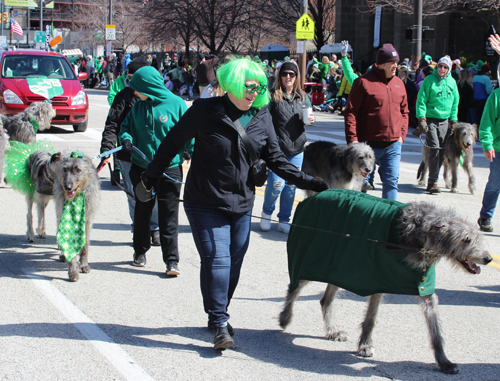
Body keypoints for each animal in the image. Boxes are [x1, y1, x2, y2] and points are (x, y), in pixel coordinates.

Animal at [280, 199, 494, 374]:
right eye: (465, 240)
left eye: (477, 238)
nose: (488, 258)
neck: (418, 238)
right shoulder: (377, 275)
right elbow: (371, 318)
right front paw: (364, 345)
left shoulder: (424, 285)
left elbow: (435, 328)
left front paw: (444, 362)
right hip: (312, 259)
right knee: (294, 288)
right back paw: (285, 317)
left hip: (336, 265)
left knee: (325, 300)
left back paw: (332, 330)